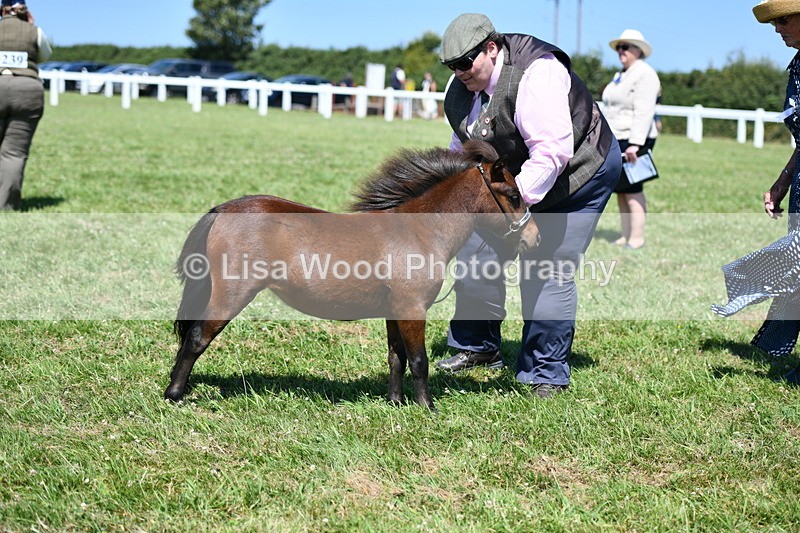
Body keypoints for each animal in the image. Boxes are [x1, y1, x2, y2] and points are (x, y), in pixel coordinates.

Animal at [164, 140, 539, 410]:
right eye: (513, 195)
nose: (533, 238)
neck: (419, 231)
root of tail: (223, 209)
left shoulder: (394, 312)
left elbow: (396, 358)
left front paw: (395, 403)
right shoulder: (412, 310)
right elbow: (419, 361)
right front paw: (427, 407)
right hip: (231, 295)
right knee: (195, 338)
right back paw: (175, 394)